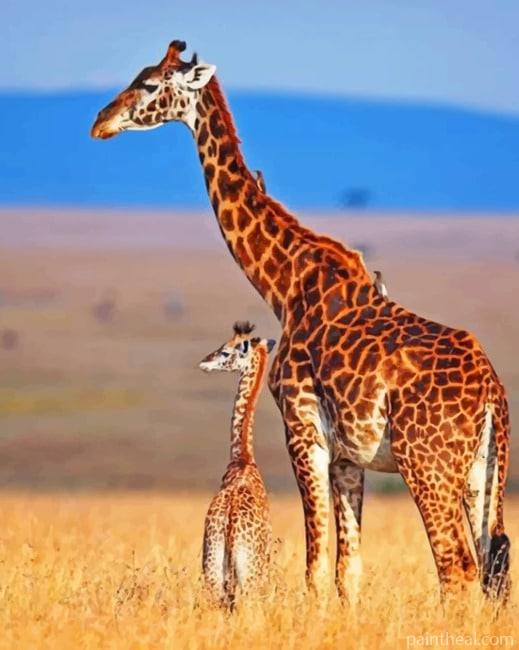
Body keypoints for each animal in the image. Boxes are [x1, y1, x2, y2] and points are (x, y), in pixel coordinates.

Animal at [199, 321, 274, 607]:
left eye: (225, 351)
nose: (204, 362)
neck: (242, 458)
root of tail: (230, 525)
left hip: (215, 570)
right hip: (246, 575)